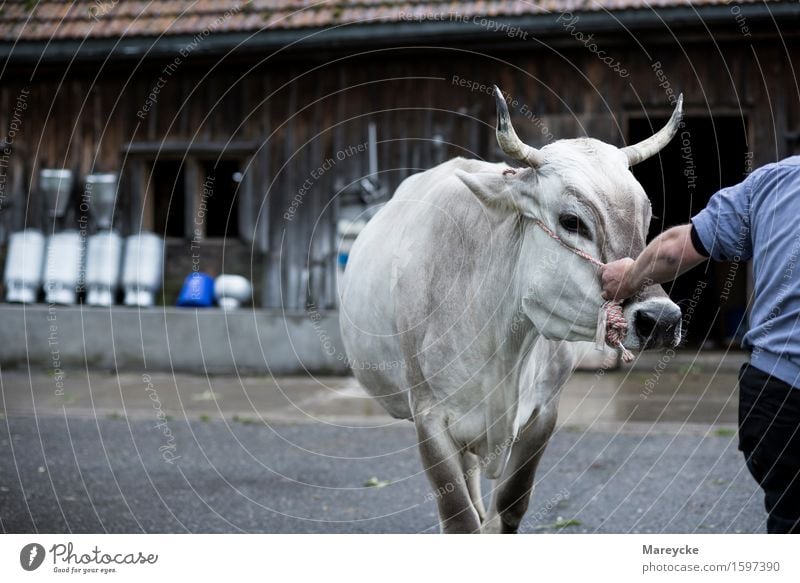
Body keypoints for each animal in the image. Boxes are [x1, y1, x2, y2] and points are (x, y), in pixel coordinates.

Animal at [340, 88, 684, 532]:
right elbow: (460, 520)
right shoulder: (429, 419)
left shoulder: (543, 415)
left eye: (647, 218)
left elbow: (509, 507)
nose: (661, 319)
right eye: (572, 221)